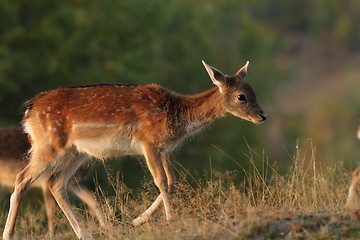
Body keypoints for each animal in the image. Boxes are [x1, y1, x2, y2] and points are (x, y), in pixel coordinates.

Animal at [2, 60, 266, 240]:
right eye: (242, 96)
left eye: (254, 92)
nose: (262, 115)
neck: (176, 116)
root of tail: (29, 110)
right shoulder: (147, 142)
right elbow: (161, 181)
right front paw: (171, 220)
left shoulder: (163, 149)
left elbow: (173, 180)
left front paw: (137, 220)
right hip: (48, 144)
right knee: (22, 179)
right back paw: (8, 234)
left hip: (75, 152)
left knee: (56, 184)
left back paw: (85, 234)